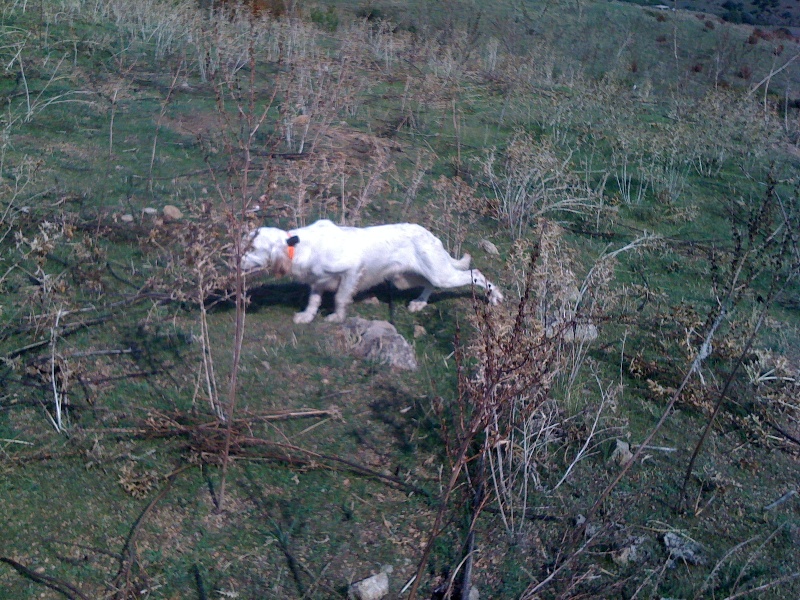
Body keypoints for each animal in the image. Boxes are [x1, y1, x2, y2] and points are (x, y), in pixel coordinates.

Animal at [241, 219, 504, 324]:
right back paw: (419, 302)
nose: (236, 260)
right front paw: (306, 316)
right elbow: (313, 300)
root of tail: (431, 236)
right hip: (407, 277)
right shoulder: (317, 281)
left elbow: (340, 297)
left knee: (476, 273)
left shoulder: (351, 270)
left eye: (252, 248)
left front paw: (336, 317)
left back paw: (494, 296)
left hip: (442, 274)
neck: (296, 246)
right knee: (430, 284)